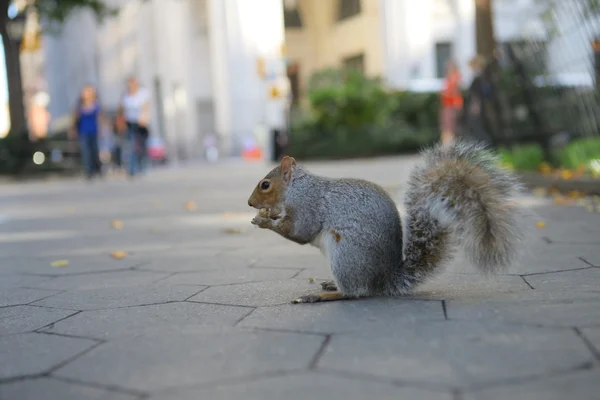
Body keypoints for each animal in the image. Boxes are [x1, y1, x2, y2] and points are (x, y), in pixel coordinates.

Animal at [248, 141, 524, 304]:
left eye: (265, 184)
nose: (250, 203)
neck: (296, 188)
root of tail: (383, 281)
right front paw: (265, 216)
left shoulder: (308, 205)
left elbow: (300, 231)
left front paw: (266, 222)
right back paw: (328, 285)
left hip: (346, 255)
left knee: (354, 292)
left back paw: (319, 295)